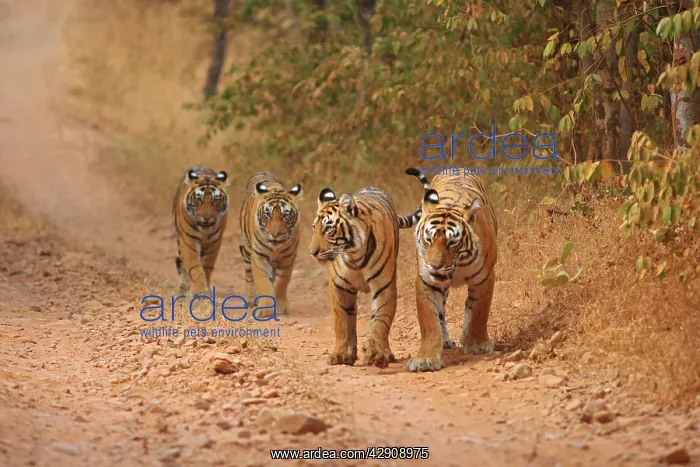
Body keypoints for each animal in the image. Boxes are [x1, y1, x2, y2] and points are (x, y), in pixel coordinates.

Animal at [173, 165, 230, 296]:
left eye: (216, 200)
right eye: (199, 199)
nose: (206, 217)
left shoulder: (215, 242)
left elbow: (207, 265)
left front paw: (205, 288)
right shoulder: (188, 240)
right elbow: (194, 266)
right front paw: (199, 291)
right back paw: (183, 286)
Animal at [239, 171, 303, 319]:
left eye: (286, 216)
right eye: (267, 214)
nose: (275, 234)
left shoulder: (288, 258)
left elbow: (282, 282)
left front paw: (280, 306)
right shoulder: (259, 256)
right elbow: (262, 281)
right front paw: (265, 308)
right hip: (247, 250)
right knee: (249, 275)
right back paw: (251, 299)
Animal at [309, 186, 421, 368]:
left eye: (328, 229)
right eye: (314, 228)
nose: (312, 252)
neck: (355, 256)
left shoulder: (384, 285)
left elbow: (381, 319)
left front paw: (377, 353)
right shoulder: (339, 286)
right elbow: (342, 320)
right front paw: (341, 354)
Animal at [402, 167, 498, 372]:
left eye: (452, 242)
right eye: (428, 239)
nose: (435, 265)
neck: (458, 266)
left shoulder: (485, 277)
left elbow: (479, 312)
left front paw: (477, 344)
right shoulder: (426, 281)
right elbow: (429, 320)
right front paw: (425, 359)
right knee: (441, 313)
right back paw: (445, 341)